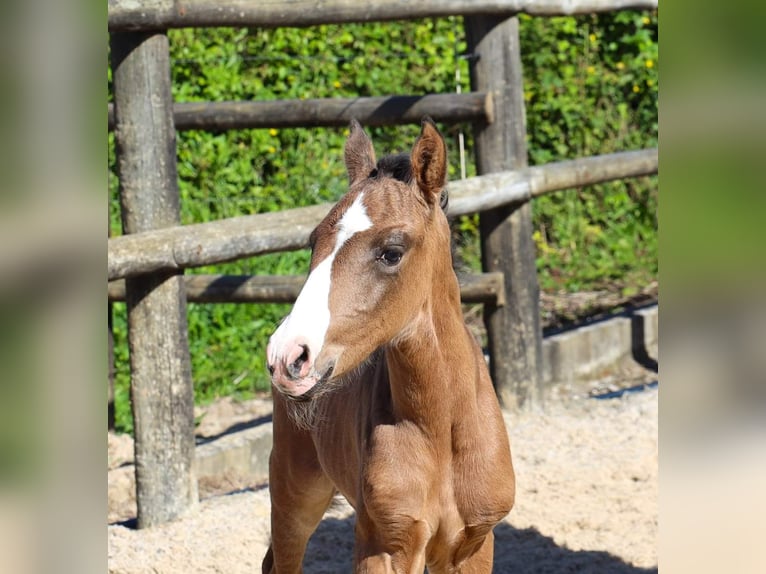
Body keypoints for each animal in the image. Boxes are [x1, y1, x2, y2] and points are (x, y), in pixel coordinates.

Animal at [264, 119, 516, 572]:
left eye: (391, 252)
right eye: (313, 241)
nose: (286, 355)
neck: (441, 432)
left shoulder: (473, 544)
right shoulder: (385, 543)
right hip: (295, 494)